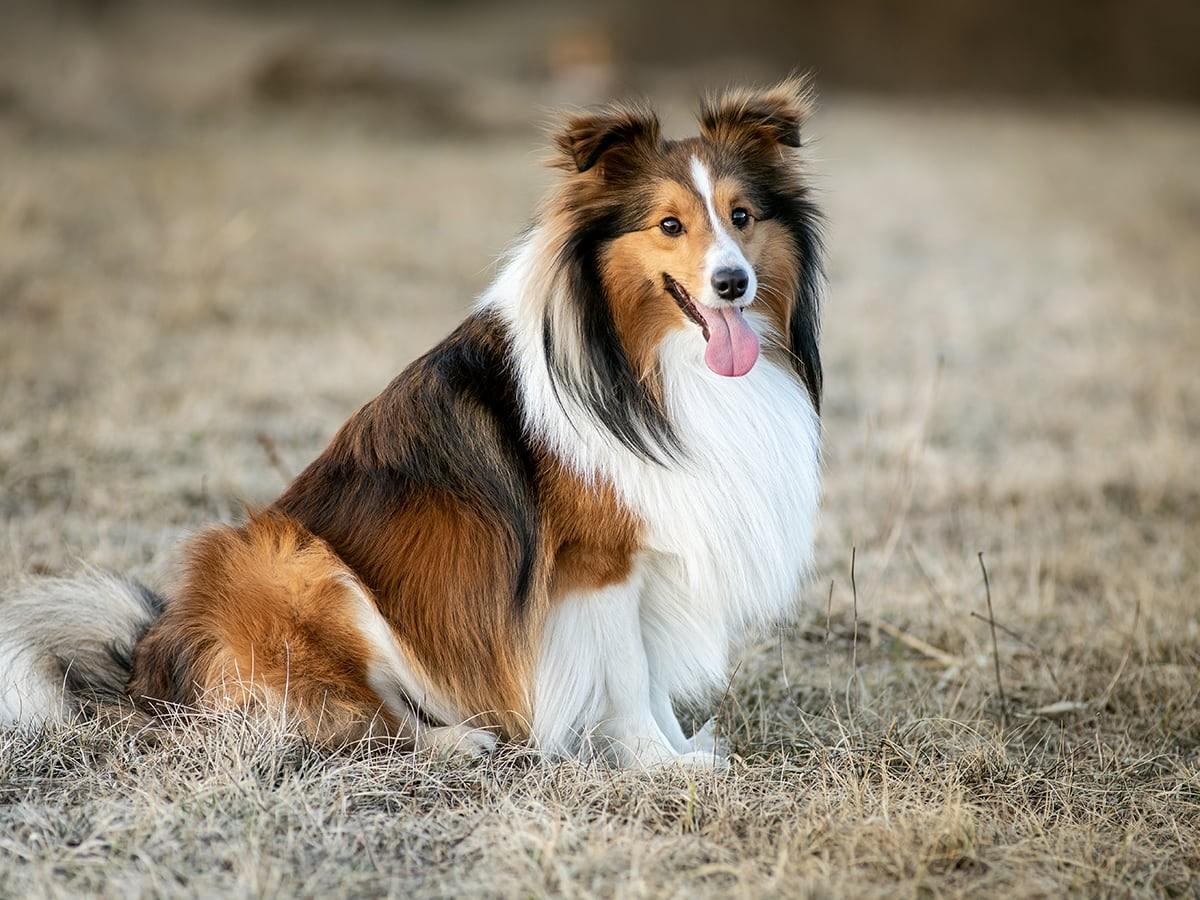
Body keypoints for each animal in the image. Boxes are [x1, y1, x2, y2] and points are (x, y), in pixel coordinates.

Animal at [0, 77, 825, 772]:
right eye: (669, 224)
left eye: (742, 217)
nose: (732, 283)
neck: (643, 361)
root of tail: (146, 666)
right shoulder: (598, 566)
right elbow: (627, 679)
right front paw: (658, 763)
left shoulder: (649, 553)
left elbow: (648, 674)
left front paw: (683, 750)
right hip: (291, 561)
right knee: (359, 722)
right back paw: (459, 742)